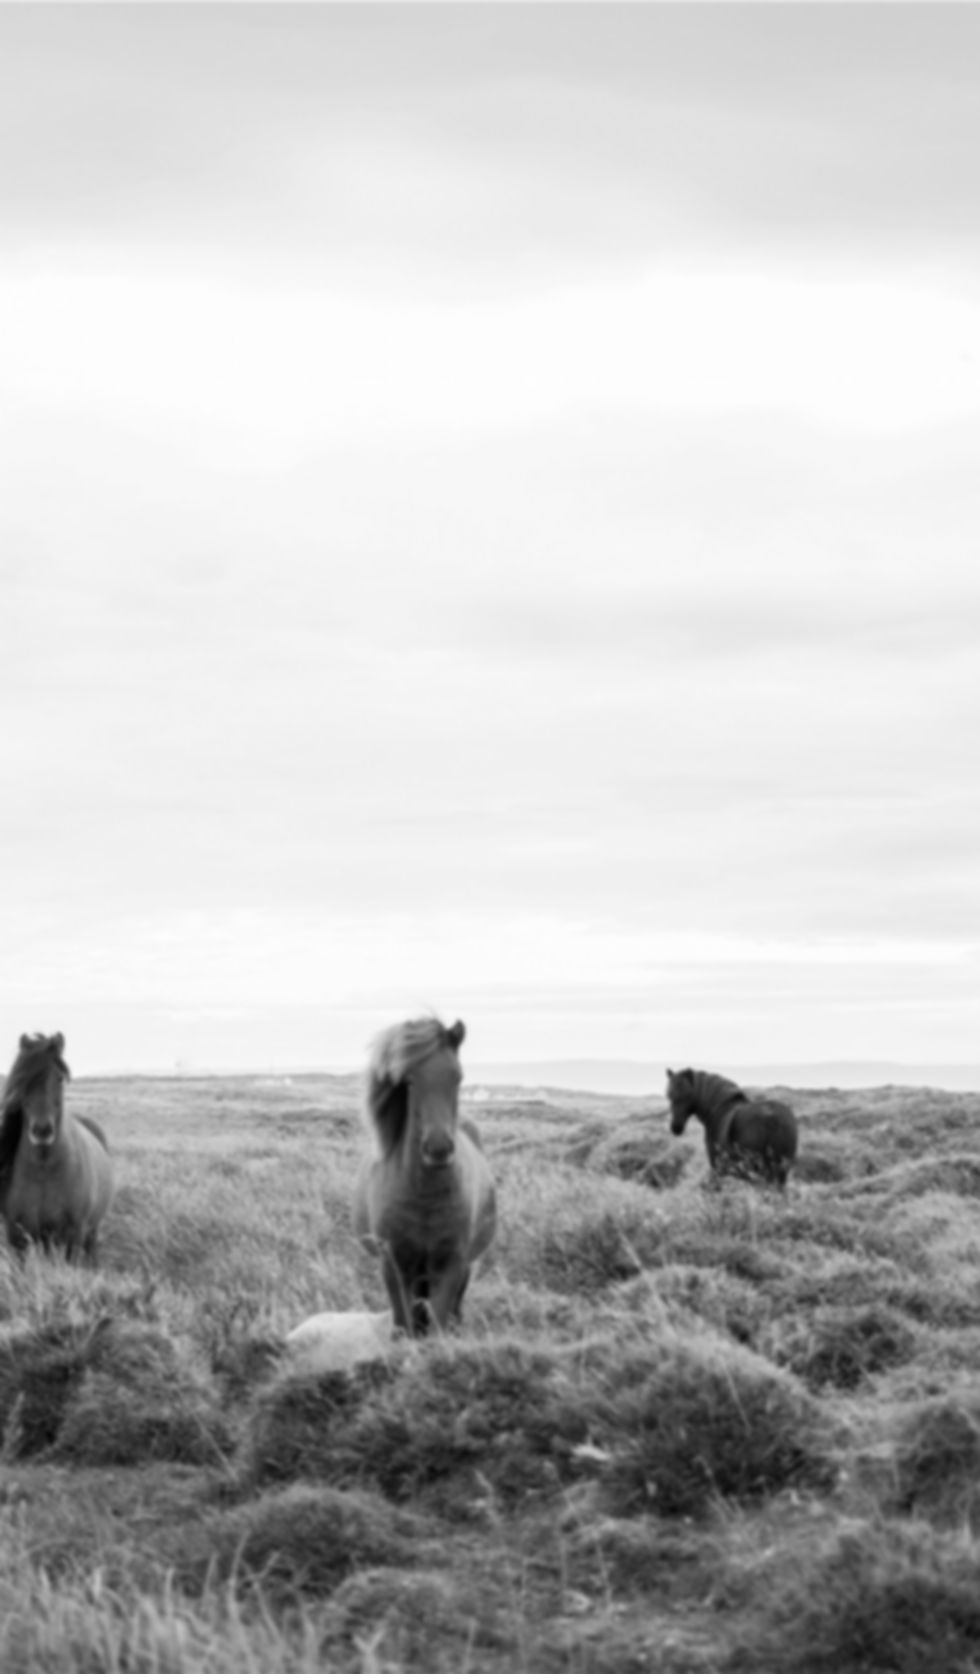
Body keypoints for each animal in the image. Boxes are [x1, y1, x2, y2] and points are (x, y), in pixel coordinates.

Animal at [0, 1032, 114, 1260]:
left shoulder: (74, 1234)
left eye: (59, 1078)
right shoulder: (16, 1237)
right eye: (23, 1079)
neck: (42, 1170)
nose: (42, 1130)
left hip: (90, 1233)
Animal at [352, 1016, 497, 1336]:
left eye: (457, 1077)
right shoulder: (393, 1266)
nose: (438, 1149)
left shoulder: (451, 1265)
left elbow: (439, 1324)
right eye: (409, 1080)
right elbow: (402, 1322)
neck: (423, 1198)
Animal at [666, 1066, 798, 1187]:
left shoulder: (718, 1169)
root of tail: (772, 1118)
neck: (719, 1107)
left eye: (688, 1095)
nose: (676, 1127)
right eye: (669, 1095)